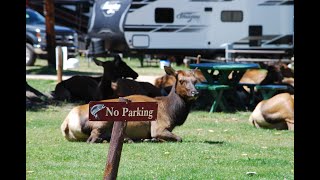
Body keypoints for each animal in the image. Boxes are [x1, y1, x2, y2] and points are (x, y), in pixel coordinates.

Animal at [60, 65, 199, 143]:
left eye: (195, 81)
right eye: (181, 81)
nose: (195, 92)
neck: (171, 113)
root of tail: (66, 122)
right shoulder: (158, 127)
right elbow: (179, 138)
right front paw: (153, 139)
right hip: (101, 121)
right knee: (92, 139)